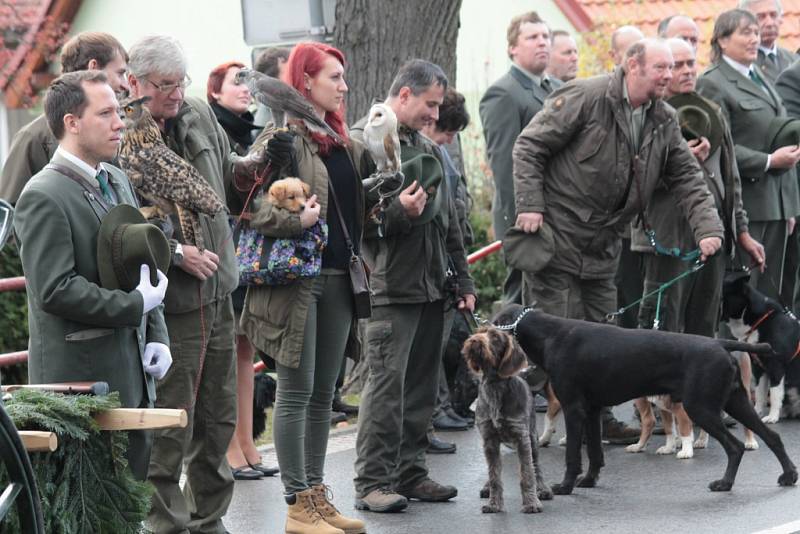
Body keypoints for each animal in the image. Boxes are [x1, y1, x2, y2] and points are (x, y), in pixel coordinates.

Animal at [460, 326, 552, 516]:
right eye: (479, 331)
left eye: (495, 337)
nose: (474, 340)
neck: (495, 386)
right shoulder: (489, 440)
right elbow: (494, 475)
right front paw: (494, 504)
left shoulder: (522, 438)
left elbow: (527, 474)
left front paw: (531, 503)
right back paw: (487, 487)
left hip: (533, 438)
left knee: (536, 466)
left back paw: (542, 488)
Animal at [490, 304, 796, 496]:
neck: (550, 334)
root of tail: (720, 342)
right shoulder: (592, 410)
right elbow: (596, 454)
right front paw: (588, 481)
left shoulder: (574, 409)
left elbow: (573, 455)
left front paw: (566, 487)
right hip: (735, 402)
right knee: (772, 437)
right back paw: (789, 475)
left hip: (702, 408)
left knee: (735, 447)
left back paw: (725, 484)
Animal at [720, 270, 800, 426]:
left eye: (721, 297)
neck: (759, 320)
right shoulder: (759, 368)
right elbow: (760, 393)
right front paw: (757, 413)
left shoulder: (776, 366)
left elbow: (774, 394)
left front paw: (772, 416)